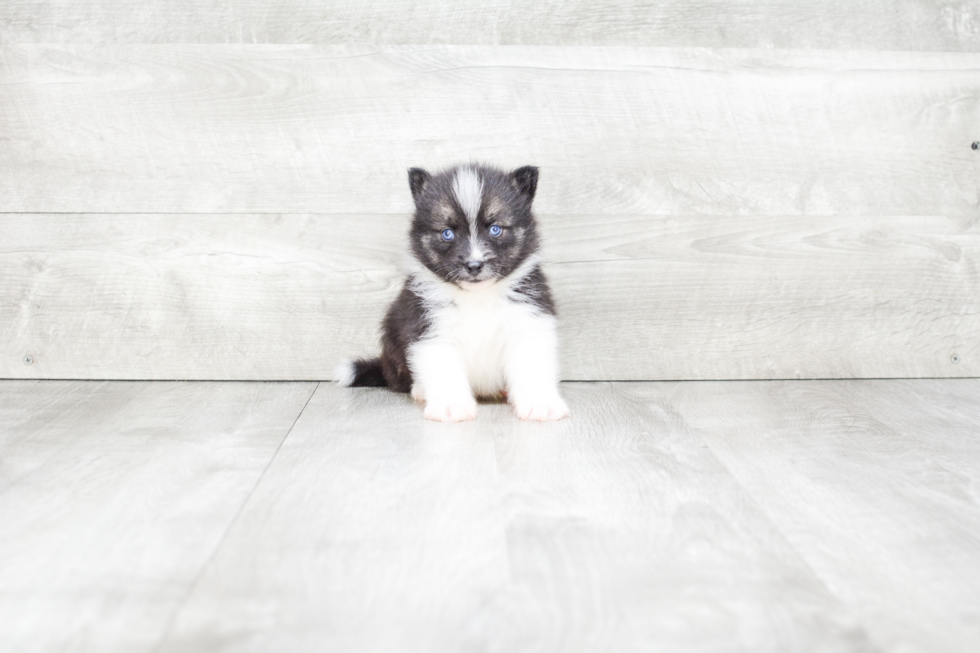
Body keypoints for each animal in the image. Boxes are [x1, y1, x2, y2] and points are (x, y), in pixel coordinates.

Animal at [334, 160, 568, 420]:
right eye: (447, 233)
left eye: (495, 229)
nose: (474, 265)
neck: (477, 297)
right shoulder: (431, 328)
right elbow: (443, 369)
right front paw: (451, 406)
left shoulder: (528, 320)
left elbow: (532, 365)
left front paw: (541, 404)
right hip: (393, 335)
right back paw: (420, 390)